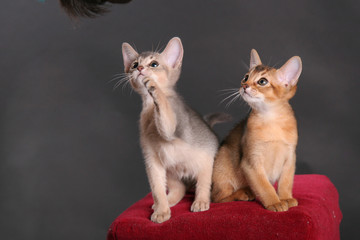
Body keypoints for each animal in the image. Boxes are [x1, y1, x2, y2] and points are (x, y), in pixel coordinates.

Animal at [122, 37, 221, 223]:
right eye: (134, 64)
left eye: (154, 64)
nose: (140, 69)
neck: (149, 109)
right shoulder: (152, 161)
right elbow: (157, 190)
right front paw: (162, 211)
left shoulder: (173, 128)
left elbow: (164, 110)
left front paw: (154, 88)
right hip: (170, 172)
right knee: (179, 189)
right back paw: (167, 202)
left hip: (207, 164)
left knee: (203, 185)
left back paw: (201, 202)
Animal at [212, 49, 302, 212]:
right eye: (246, 77)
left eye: (262, 81)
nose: (244, 86)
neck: (272, 120)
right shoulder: (251, 162)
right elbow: (265, 186)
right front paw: (275, 202)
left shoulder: (290, 157)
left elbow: (286, 182)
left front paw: (286, 198)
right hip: (223, 162)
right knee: (217, 198)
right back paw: (243, 193)